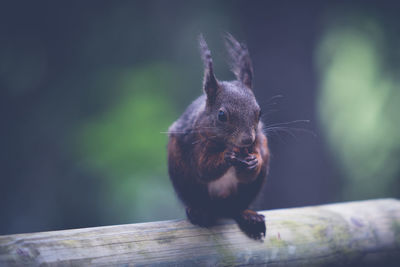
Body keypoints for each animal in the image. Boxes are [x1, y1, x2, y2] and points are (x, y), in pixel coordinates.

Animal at [167, 33, 270, 241]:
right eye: (222, 115)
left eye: (259, 112)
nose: (247, 140)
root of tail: (221, 205)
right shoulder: (196, 140)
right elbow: (204, 168)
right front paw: (228, 156)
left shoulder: (258, 142)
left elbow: (249, 173)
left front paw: (254, 161)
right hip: (182, 172)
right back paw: (199, 211)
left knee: (237, 206)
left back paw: (249, 216)